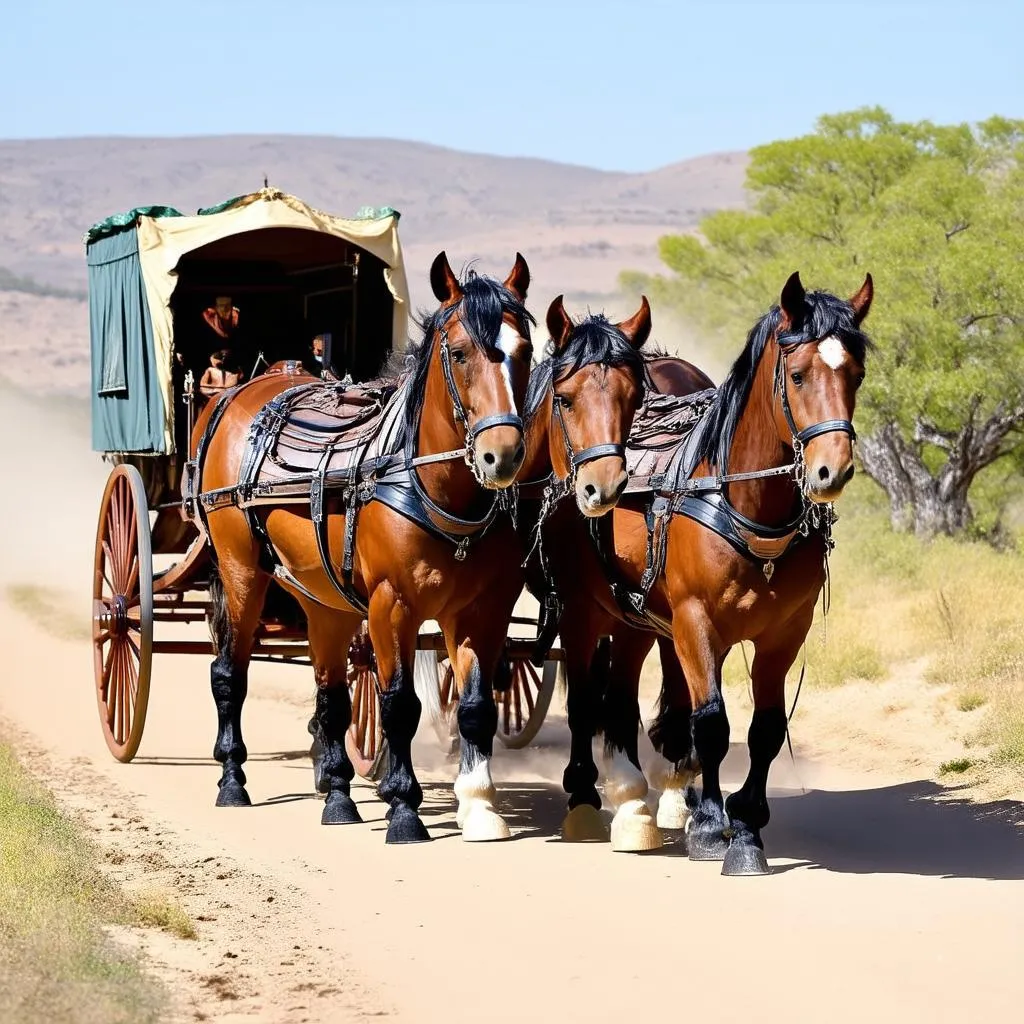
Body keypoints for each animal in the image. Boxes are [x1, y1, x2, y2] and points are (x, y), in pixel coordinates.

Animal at [544, 272, 872, 872]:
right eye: (797, 374)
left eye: (855, 374)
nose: (830, 471)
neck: (743, 505)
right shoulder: (697, 624)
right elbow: (713, 723)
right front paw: (713, 828)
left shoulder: (784, 633)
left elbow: (765, 730)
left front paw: (745, 822)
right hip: (583, 610)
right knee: (584, 702)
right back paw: (584, 798)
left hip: (636, 618)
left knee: (621, 700)